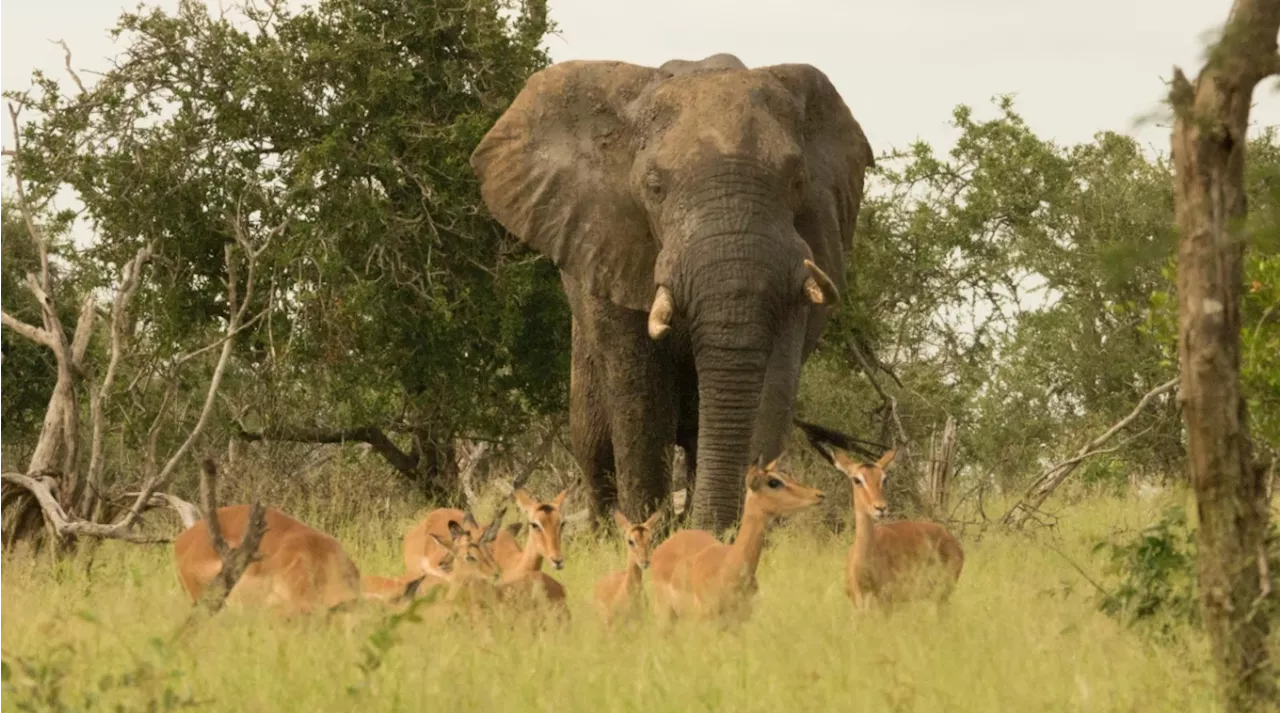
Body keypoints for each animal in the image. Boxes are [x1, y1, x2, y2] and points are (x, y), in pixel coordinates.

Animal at [476, 52, 875, 529]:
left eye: (797, 181)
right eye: (654, 187)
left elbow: (773, 386)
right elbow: (641, 402)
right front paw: (651, 534)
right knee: (593, 444)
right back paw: (605, 530)